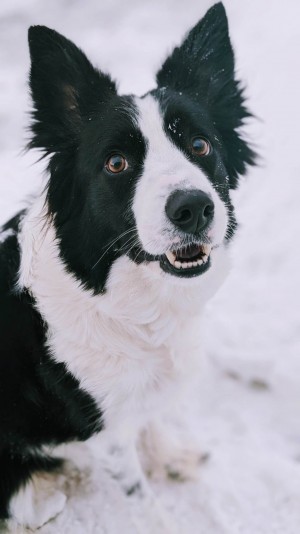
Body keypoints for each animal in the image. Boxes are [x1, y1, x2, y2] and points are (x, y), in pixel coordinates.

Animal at [0, 3, 255, 532]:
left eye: (200, 146)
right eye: (116, 162)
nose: (193, 208)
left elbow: (151, 418)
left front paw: (169, 455)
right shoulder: (103, 428)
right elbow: (138, 492)